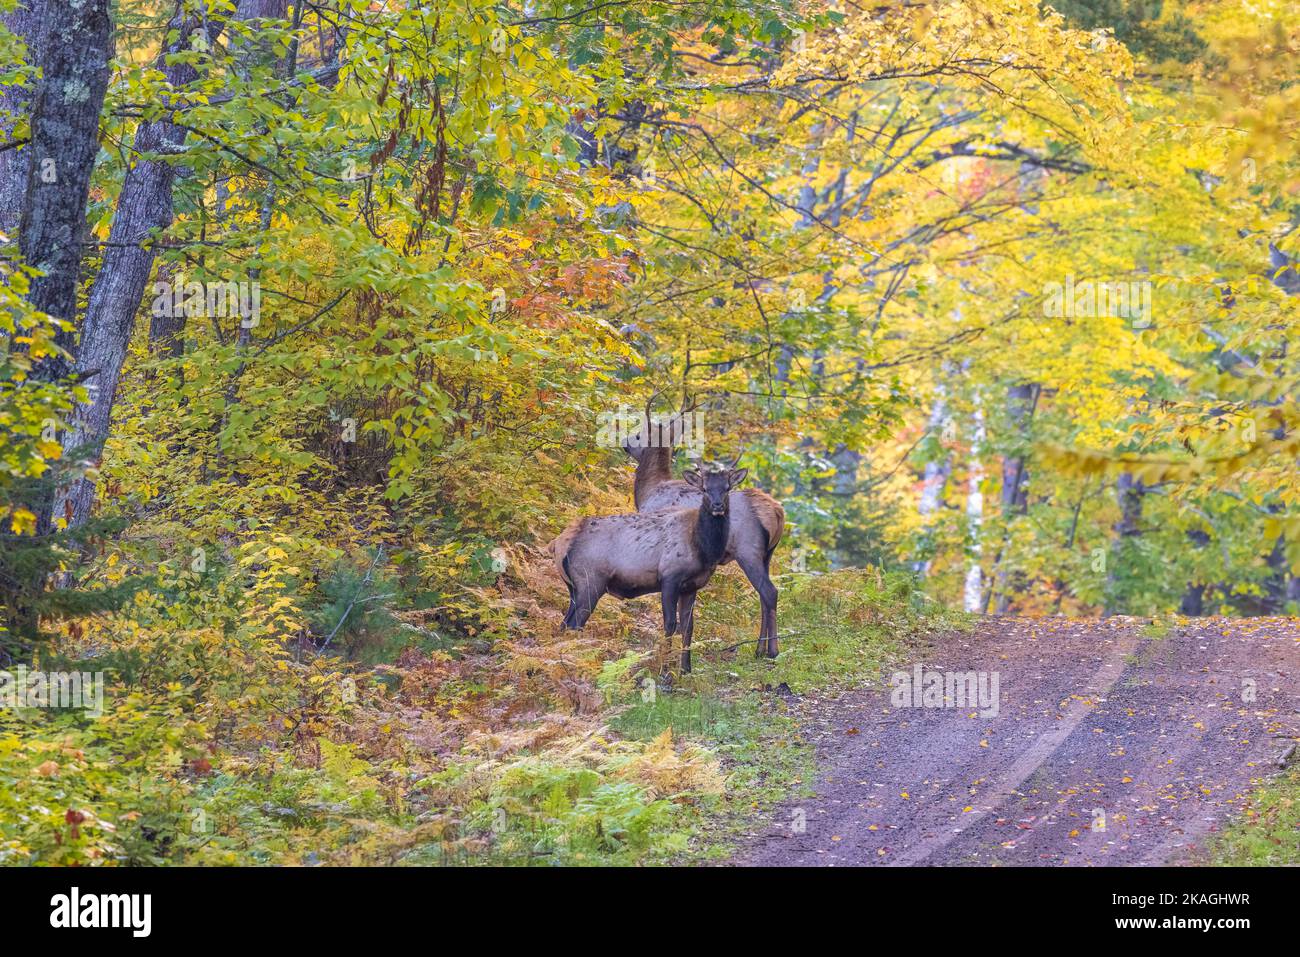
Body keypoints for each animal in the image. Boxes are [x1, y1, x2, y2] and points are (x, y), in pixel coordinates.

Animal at [549, 466, 746, 672]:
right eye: (705, 489)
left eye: (727, 488)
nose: (718, 506)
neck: (703, 548)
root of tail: (558, 544)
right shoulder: (669, 577)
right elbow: (670, 624)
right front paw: (665, 671)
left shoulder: (691, 587)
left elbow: (688, 627)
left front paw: (685, 670)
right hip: (590, 582)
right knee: (574, 624)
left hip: (574, 587)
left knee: (564, 623)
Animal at [622, 395, 785, 659]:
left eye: (638, 435)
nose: (624, 443)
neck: (648, 492)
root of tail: (777, 513)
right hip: (767, 554)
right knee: (764, 594)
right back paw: (759, 648)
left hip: (748, 549)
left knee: (769, 591)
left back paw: (771, 650)